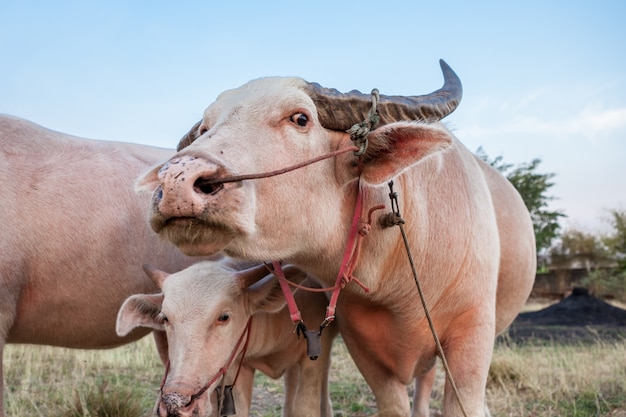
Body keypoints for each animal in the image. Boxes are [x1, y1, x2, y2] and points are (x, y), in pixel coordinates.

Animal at [114, 262, 334, 414]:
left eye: (224, 317)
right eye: (165, 318)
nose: (175, 402)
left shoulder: (313, 361)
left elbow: (305, 409)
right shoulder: (237, 369)